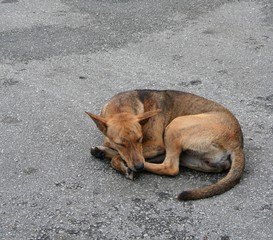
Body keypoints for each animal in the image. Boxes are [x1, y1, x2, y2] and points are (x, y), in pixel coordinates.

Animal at [85, 90, 244, 201]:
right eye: (121, 143)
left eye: (139, 139)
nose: (138, 167)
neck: (121, 106)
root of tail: (238, 143)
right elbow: (118, 152)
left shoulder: (156, 146)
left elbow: (118, 157)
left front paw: (122, 163)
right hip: (191, 158)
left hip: (175, 126)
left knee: (170, 167)